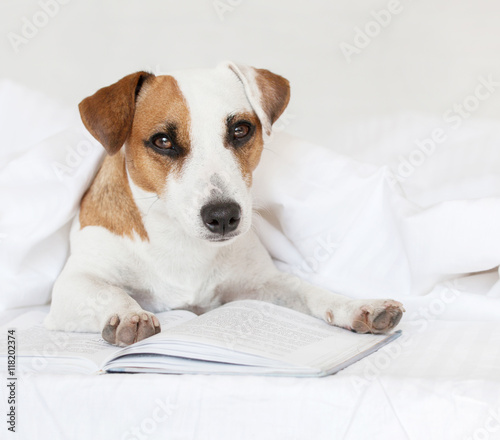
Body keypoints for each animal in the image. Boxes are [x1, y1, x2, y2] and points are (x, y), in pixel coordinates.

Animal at [45, 62, 404, 346]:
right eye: (163, 141)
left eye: (241, 130)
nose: (222, 216)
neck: (179, 240)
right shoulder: (71, 286)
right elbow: (110, 291)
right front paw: (128, 314)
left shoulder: (262, 283)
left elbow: (308, 290)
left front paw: (356, 306)